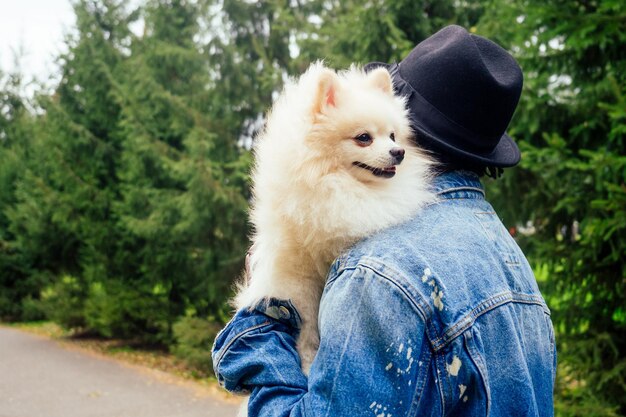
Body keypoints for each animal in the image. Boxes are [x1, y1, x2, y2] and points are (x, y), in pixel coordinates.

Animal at [234, 61, 434, 374]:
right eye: (363, 138)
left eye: (392, 136)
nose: (398, 152)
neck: (337, 185)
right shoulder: (297, 274)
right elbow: (304, 320)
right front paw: (307, 358)